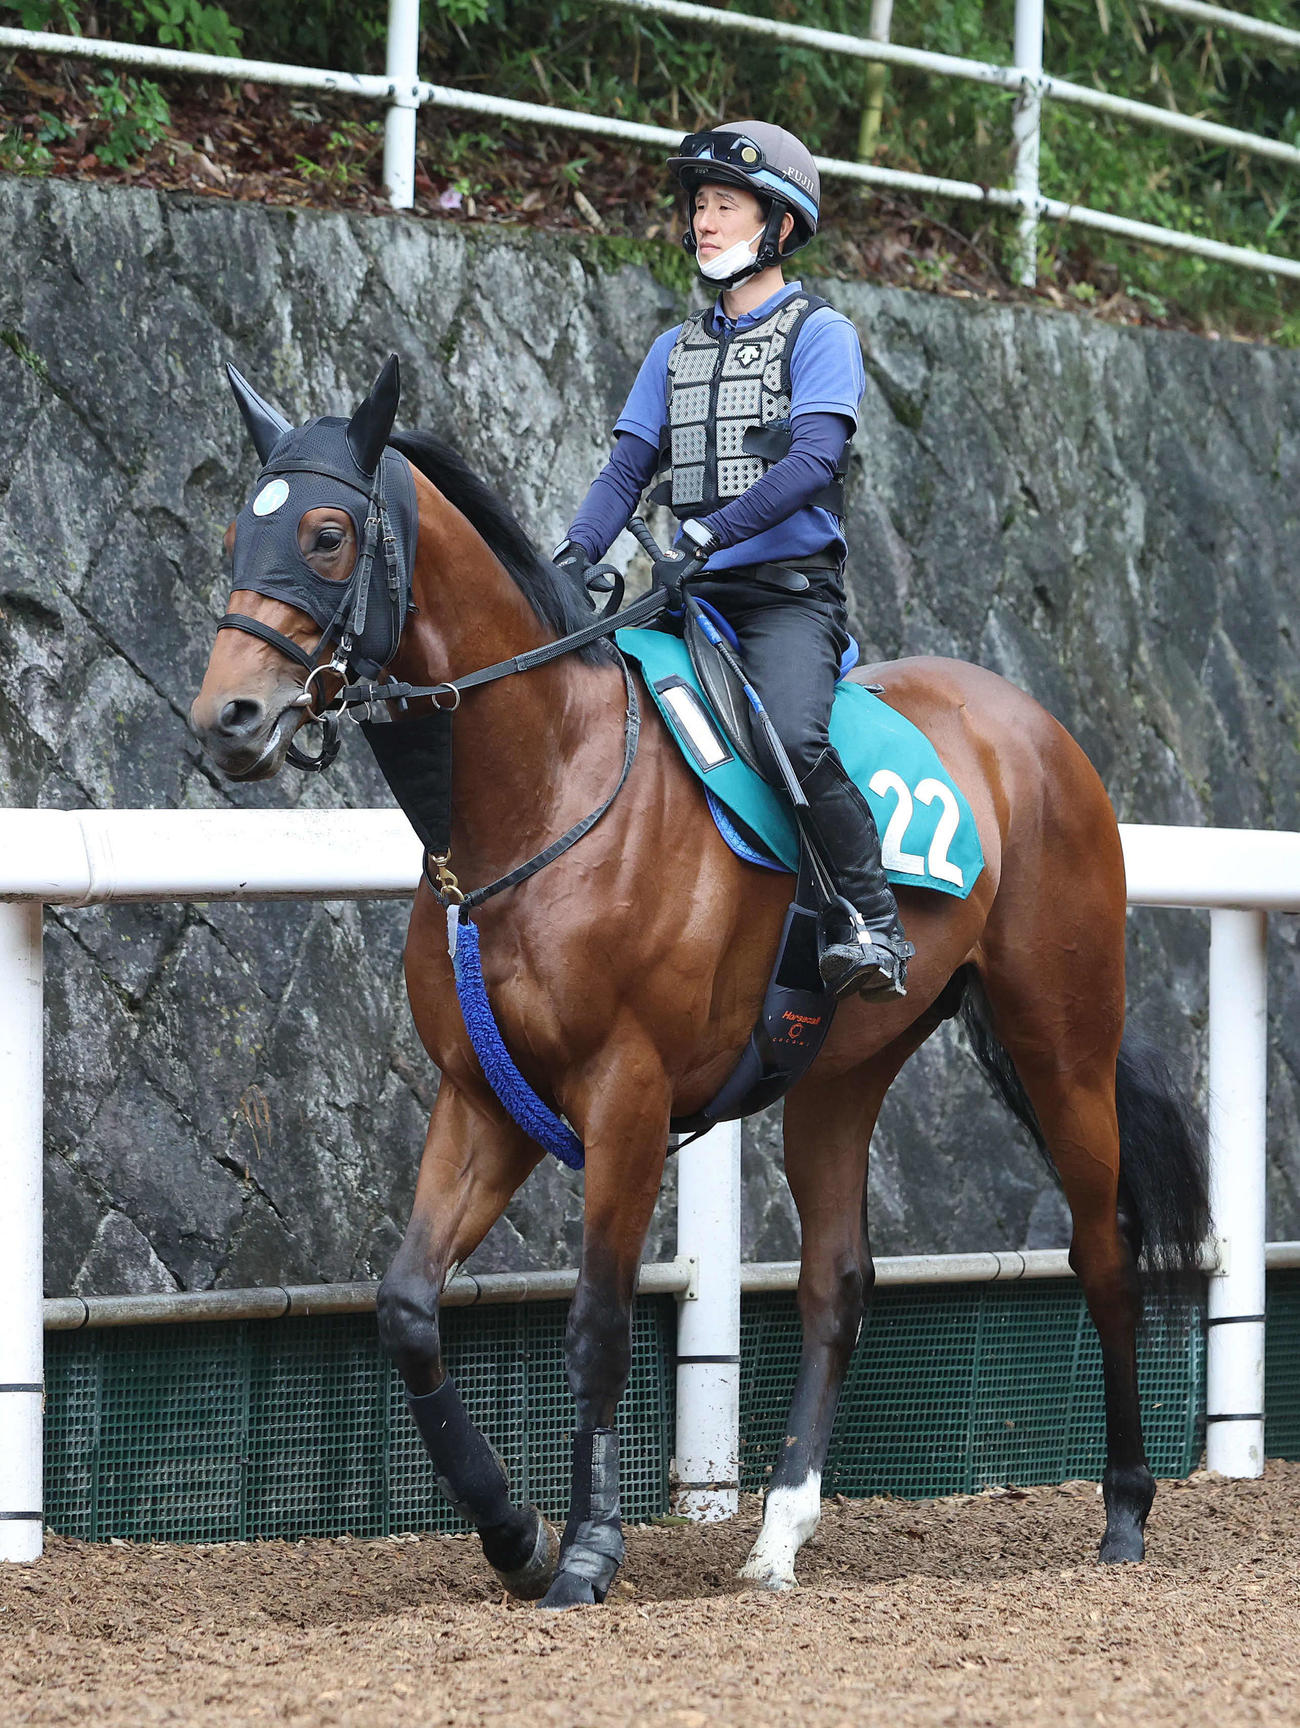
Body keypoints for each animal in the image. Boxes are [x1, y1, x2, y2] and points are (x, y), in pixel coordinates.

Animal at [190, 357, 1208, 1608]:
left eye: (326, 535)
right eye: (238, 532)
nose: (227, 719)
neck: (538, 792)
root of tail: (1032, 727)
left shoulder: (622, 1095)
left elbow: (595, 1323)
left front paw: (586, 1548)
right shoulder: (483, 1099)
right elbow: (407, 1309)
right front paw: (513, 1531)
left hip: (1058, 1037)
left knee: (1102, 1252)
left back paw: (1123, 1512)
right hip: (837, 1072)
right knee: (835, 1284)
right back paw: (777, 1535)